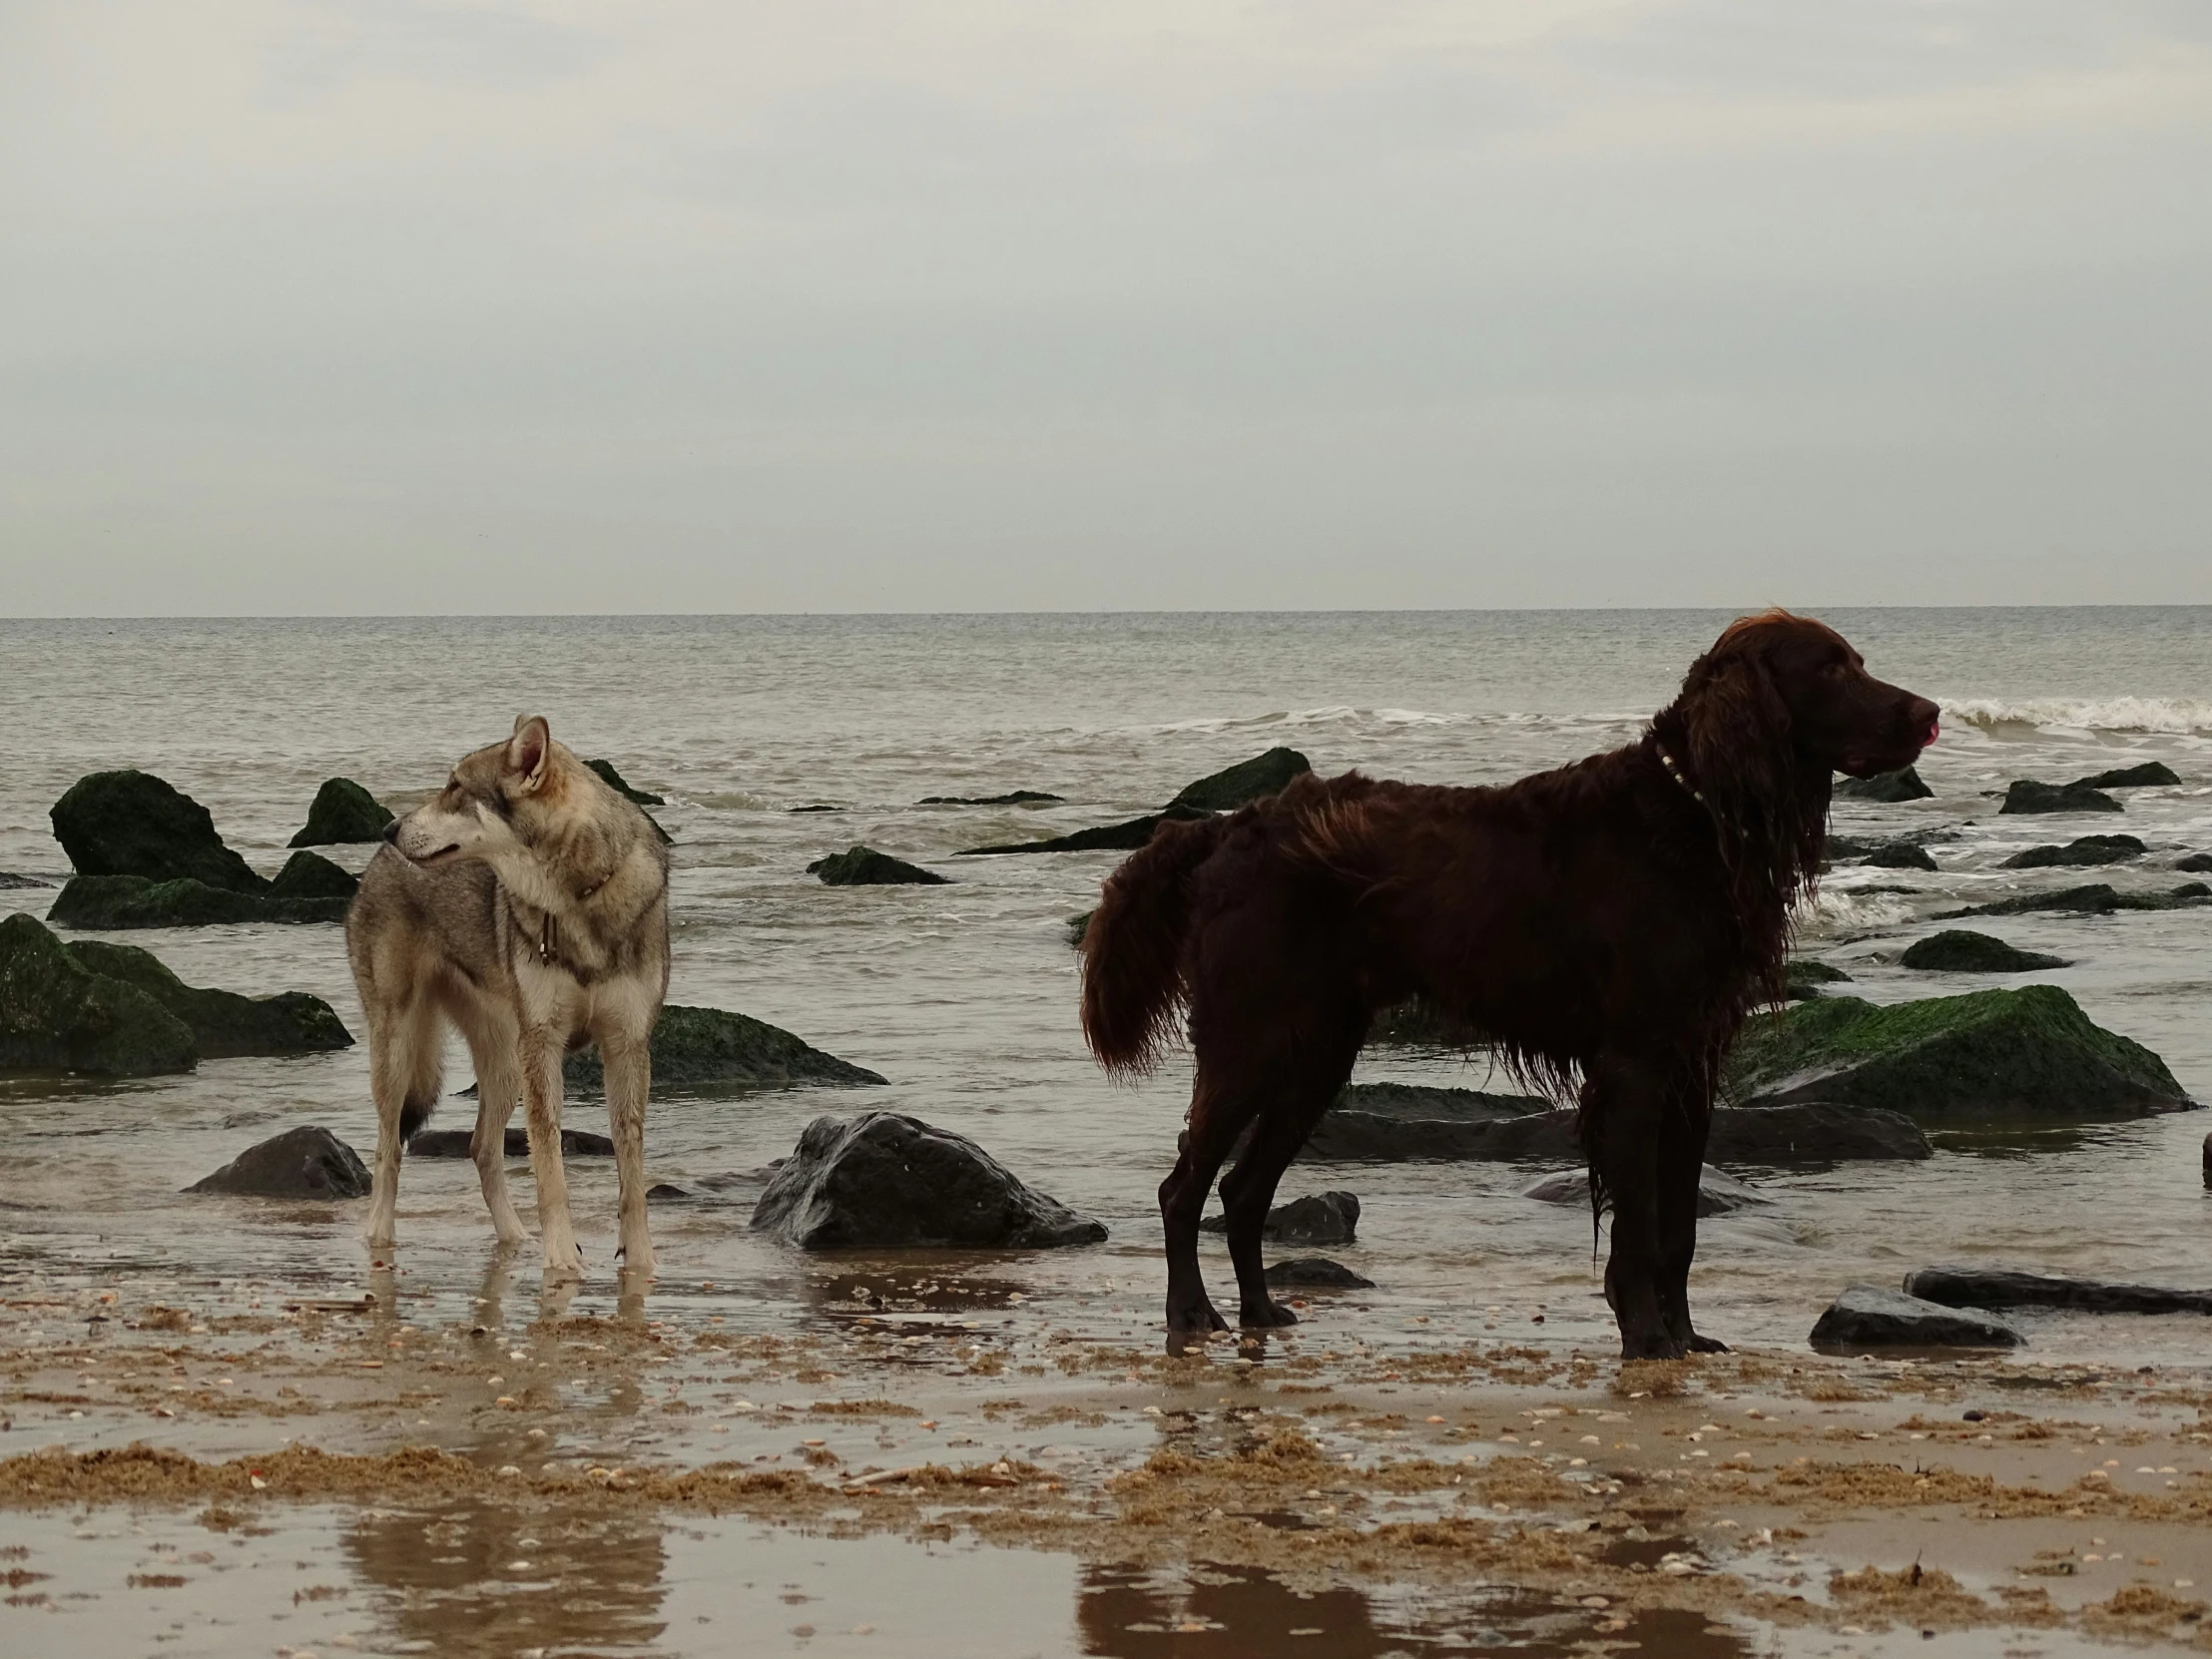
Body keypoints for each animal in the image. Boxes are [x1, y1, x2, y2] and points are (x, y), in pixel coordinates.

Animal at [1083, 615, 1937, 1363]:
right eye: (1831, 669)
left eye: (1857, 661)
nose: (1931, 714)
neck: (1691, 812)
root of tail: (1226, 825)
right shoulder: (1635, 1063)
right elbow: (1638, 1225)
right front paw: (1647, 1338)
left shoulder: (1694, 1062)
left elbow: (1680, 1227)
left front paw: (1687, 1337)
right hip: (1252, 1039)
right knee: (1183, 1187)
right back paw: (1191, 1313)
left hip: (1317, 1055)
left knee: (1243, 1190)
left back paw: (1261, 1312)